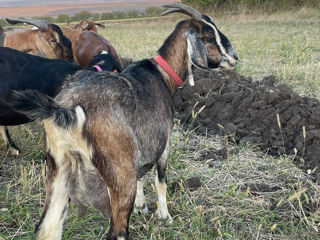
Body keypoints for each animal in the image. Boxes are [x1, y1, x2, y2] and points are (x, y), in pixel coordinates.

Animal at [12, 2, 238, 239]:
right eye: (209, 34)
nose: (234, 57)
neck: (162, 75)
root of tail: (68, 110)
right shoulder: (164, 144)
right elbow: (161, 181)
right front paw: (164, 216)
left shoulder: (140, 149)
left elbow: (142, 177)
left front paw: (142, 207)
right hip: (119, 172)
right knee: (117, 229)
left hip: (58, 165)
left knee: (47, 227)